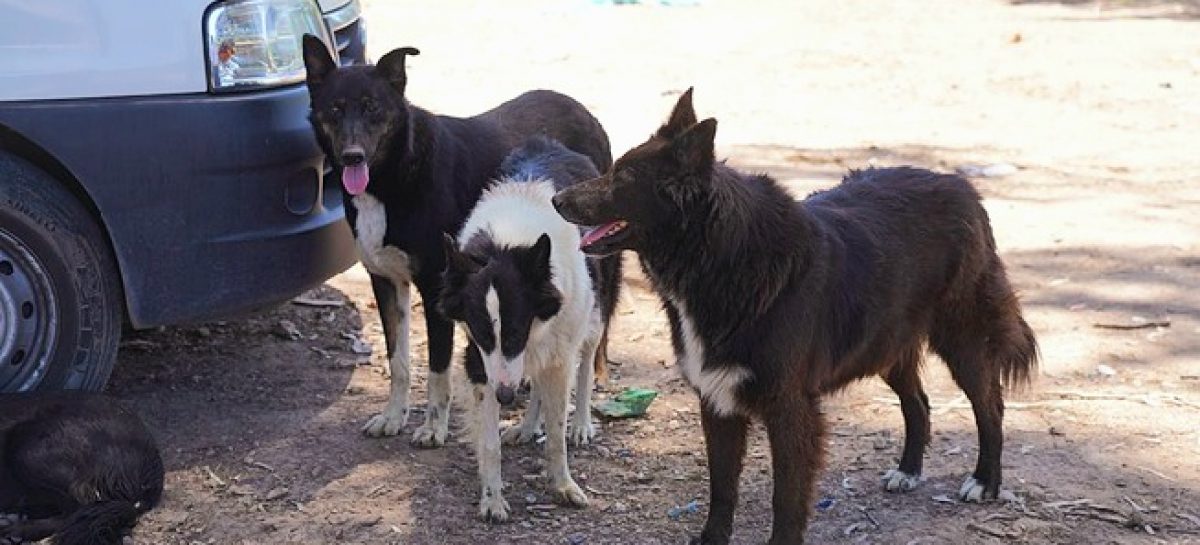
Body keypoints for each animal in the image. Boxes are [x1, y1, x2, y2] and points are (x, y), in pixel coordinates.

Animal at [300, 34, 619, 444]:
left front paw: (434, 426)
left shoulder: (437, 285)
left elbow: (437, 368)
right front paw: (393, 416)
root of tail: (584, 111)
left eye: (373, 108)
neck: (394, 175)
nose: (352, 156)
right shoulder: (385, 281)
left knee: (588, 345)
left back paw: (580, 421)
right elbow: (398, 361)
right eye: (336, 109)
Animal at [441, 138, 619, 520]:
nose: (506, 398)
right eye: (483, 335)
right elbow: (490, 443)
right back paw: (526, 426)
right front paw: (492, 498)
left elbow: (556, 431)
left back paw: (581, 424)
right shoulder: (480, 361)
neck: (508, 243)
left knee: (585, 365)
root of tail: (552, 143)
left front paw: (563, 485)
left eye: (515, 332)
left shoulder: (556, 350)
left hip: (594, 313)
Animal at [549, 87, 1036, 542]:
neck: (721, 260)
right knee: (918, 402)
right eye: (615, 168)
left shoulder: (790, 409)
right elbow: (722, 488)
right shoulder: (718, 400)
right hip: (885, 346)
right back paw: (909, 470)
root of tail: (961, 186)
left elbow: (786, 496)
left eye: (624, 177)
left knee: (990, 407)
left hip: (963, 343)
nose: (556, 199)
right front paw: (712, 538)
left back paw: (985, 481)